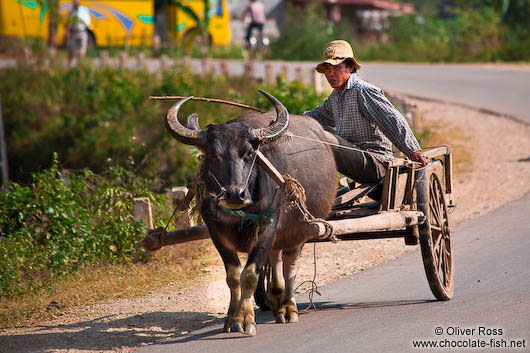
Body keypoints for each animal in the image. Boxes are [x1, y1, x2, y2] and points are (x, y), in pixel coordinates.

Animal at [165, 89, 334, 334]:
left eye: (248, 153)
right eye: (214, 155)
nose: (235, 194)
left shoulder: (267, 227)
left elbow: (250, 274)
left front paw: (245, 319)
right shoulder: (217, 232)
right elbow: (233, 276)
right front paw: (230, 318)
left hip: (302, 230)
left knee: (290, 265)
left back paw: (287, 308)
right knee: (276, 258)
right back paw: (275, 298)